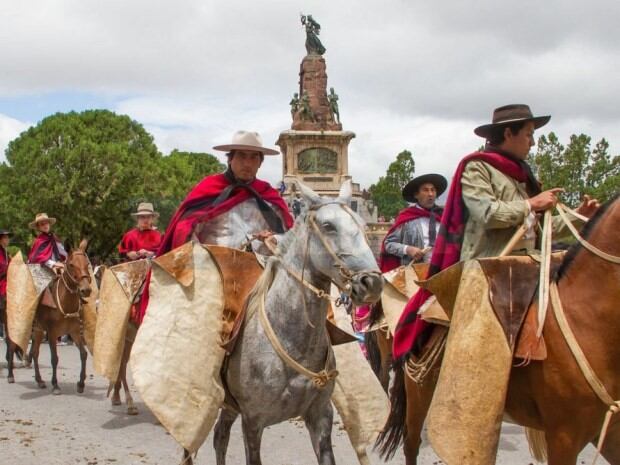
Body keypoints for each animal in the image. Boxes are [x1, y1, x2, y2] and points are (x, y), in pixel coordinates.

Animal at [7, 241, 92, 394]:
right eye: (71, 264)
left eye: (87, 263)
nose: (86, 290)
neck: (65, 302)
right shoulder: (52, 333)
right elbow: (54, 358)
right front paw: (55, 385)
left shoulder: (75, 332)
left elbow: (83, 354)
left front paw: (81, 384)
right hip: (16, 325)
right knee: (12, 346)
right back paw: (11, 375)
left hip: (38, 330)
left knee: (34, 353)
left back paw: (40, 381)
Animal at [183, 181, 382, 464]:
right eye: (328, 226)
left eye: (362, 225)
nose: (371, 282)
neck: (293, 341)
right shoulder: (253, 421)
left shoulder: (320, 415)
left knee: (220, 435)